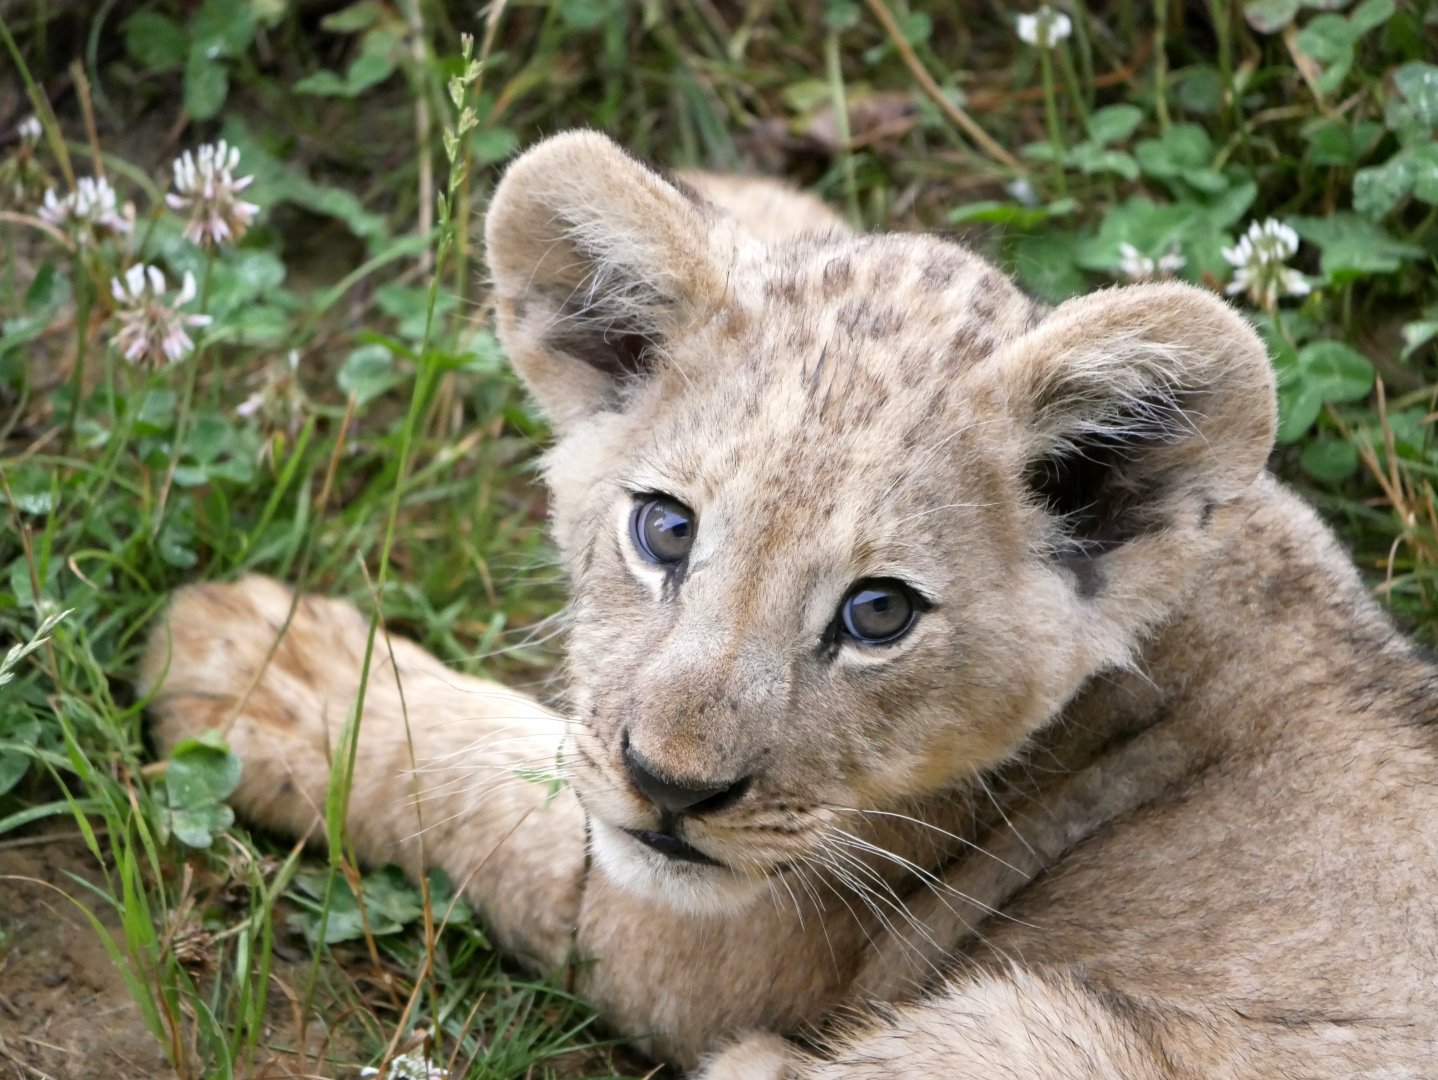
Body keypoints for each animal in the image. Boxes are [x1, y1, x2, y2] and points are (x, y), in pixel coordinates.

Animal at [141, 131, 1438, 1078]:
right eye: (665, 531)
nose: (672, 788)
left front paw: (266, 667)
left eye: (878, 615)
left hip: (1037, 1034)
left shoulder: (711, 940)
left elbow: (504, 795)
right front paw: (738, 204)